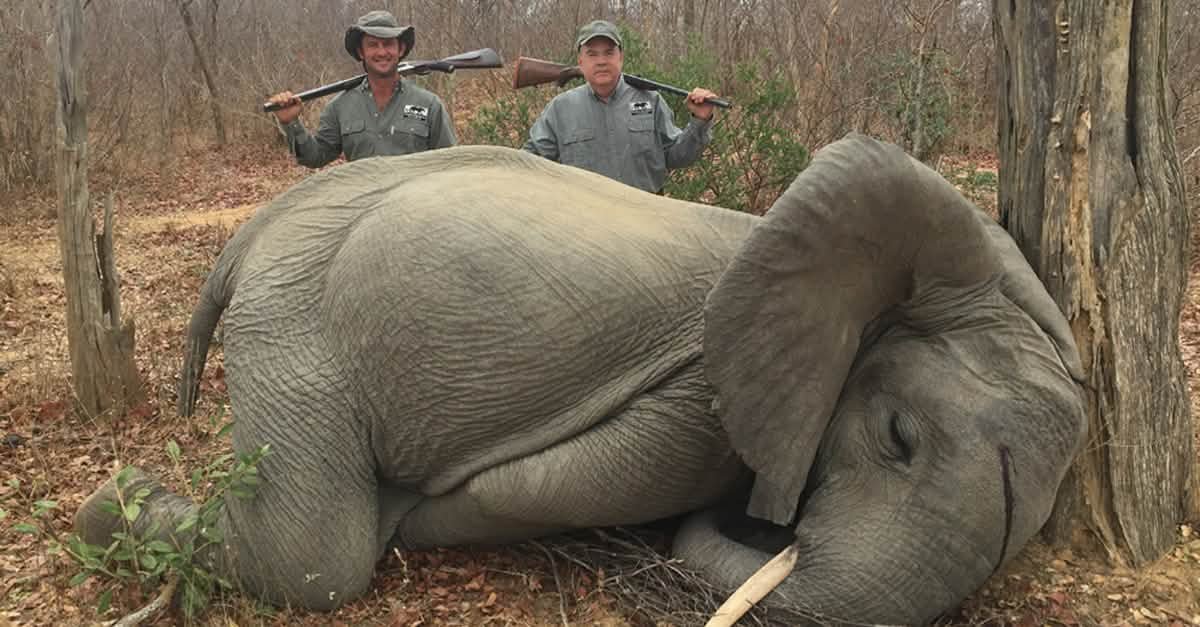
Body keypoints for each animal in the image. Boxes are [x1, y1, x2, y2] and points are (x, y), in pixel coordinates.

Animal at [75, 133, 1087, 625]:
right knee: (312, 556)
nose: (767, 526)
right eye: (898, 437)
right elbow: (563, 481)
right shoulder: (700, 402)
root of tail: (250, 236)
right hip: (295, 324)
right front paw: (415, 513)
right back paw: (109, 502)